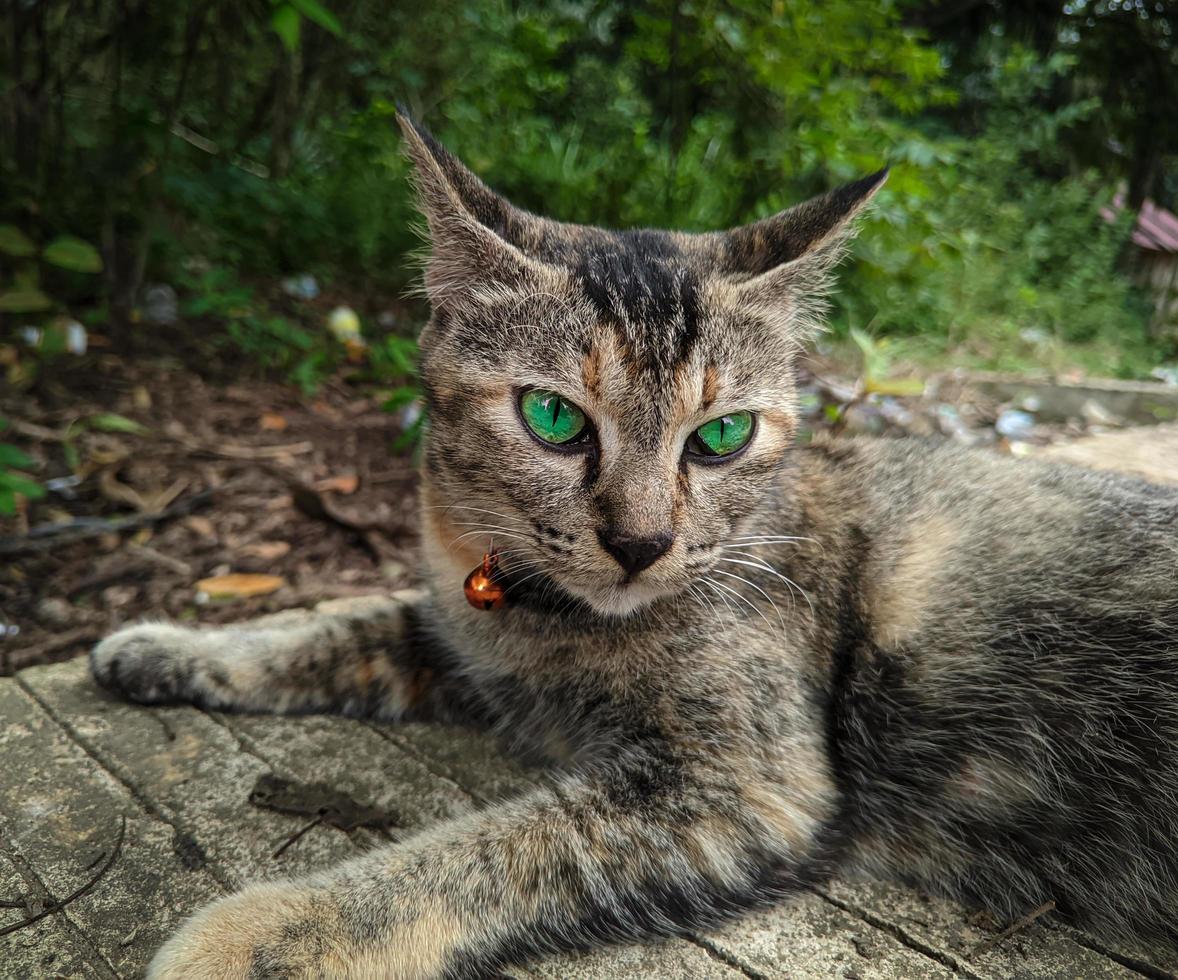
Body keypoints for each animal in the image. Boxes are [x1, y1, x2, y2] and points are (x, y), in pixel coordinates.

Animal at [91, 116, 1178, 980]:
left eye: (723, 435)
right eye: (550, 418)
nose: (641, 540)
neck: (540, 624)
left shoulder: (750, 782)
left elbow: (476, 851)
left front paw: (260, 932)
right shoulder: (457, 630)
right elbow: (333, 625)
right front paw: (168, 646)